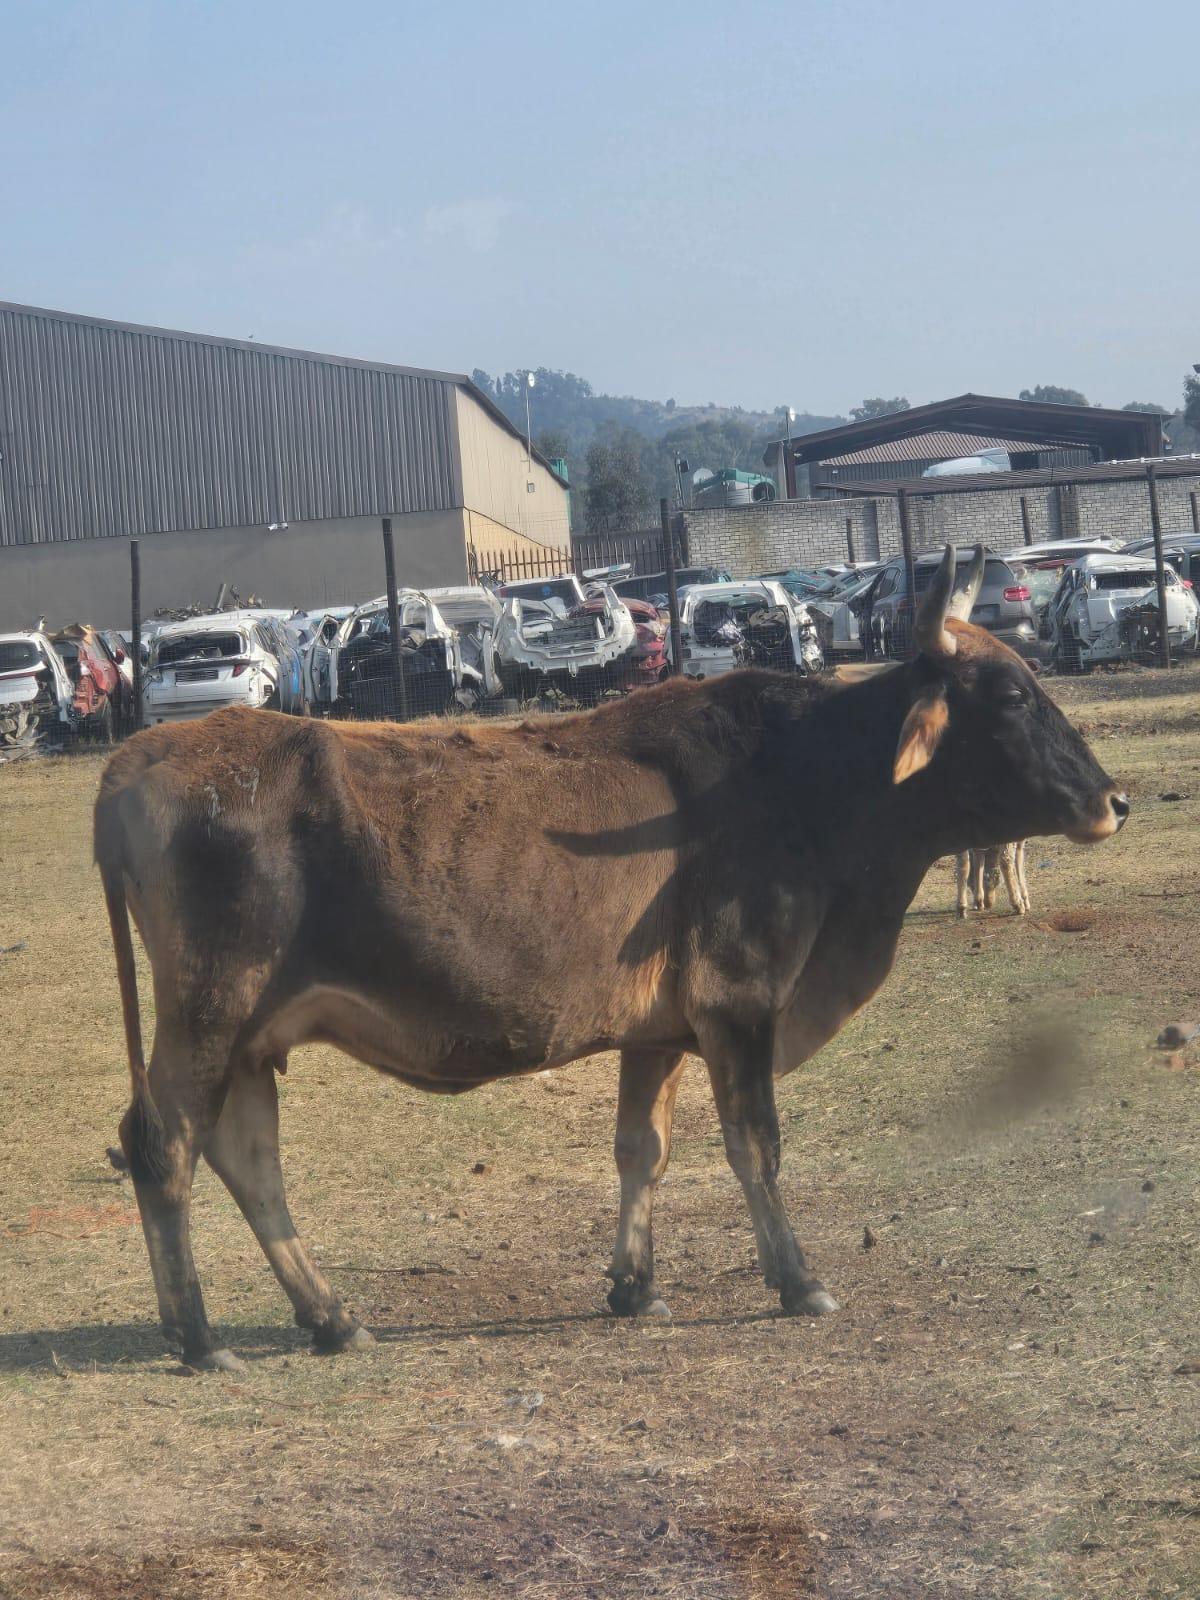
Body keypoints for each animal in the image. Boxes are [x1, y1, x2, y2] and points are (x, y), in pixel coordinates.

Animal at [96, 545, 1128, 1372]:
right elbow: (756, 1146)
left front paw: (635, 1285)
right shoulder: (739, 1003)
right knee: (165, 1146)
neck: (803, 779)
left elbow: (644, 1150)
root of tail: (139, 759)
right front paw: (796, 1280)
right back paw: (198, 1336)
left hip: (249, 1037)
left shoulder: (660, 1031)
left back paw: (328, 1316)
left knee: (248, 1161)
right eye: (1010, 696)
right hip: (208, 1014)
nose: (1113, 800)